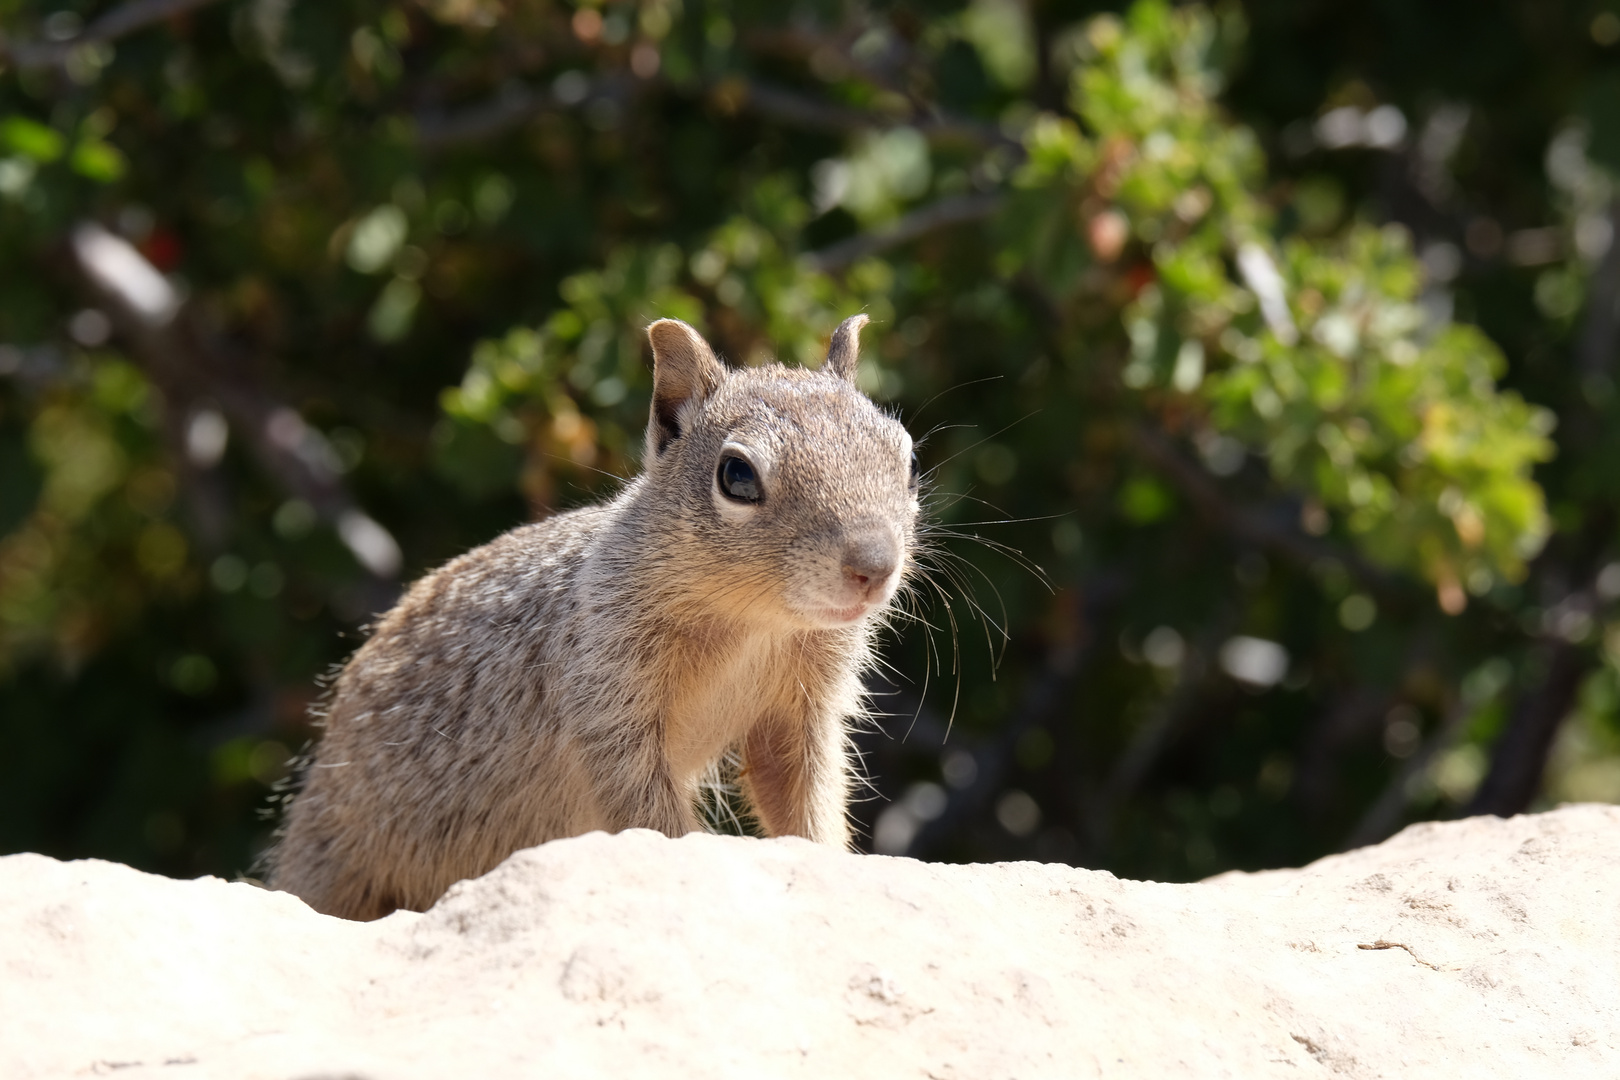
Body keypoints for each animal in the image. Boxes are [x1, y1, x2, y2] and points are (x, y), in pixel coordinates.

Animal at [272, 312, 920, 919]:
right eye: (736, 476)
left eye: (908, 459)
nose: (873, 565)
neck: (755, 624)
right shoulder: (608, 701)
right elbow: (649, 815)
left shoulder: (801, 717)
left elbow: (804, 799)